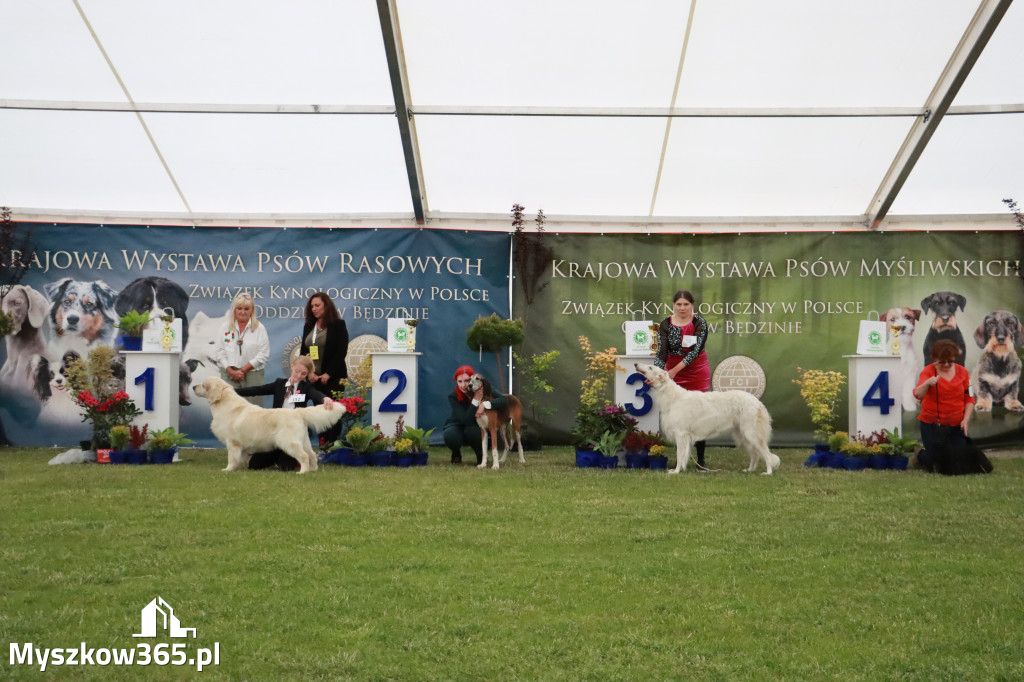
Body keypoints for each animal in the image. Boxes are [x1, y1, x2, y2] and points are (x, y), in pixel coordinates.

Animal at [193, 374, 346, 471]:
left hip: (289, 442)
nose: (193, 386)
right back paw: (313, 470)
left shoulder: (233, 442)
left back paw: (302, 472)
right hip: (304, 441)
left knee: (304, 456)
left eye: (204, 385)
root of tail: (297, 412)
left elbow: (232, 458)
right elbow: (242, 458)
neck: (224, 403)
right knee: (312, 454)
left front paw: (228, 469)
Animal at [634, 360, 778, 473]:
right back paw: (749, 470)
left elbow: (680, 455)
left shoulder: (681, 433)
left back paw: (768, 472)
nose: (635, 364)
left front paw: (676, 471)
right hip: (742, 435)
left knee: (766, 454)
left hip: (751, 433)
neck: (672, 397)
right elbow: (683, 455)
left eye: (650, 367)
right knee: (755, 455)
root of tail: (758, 403)